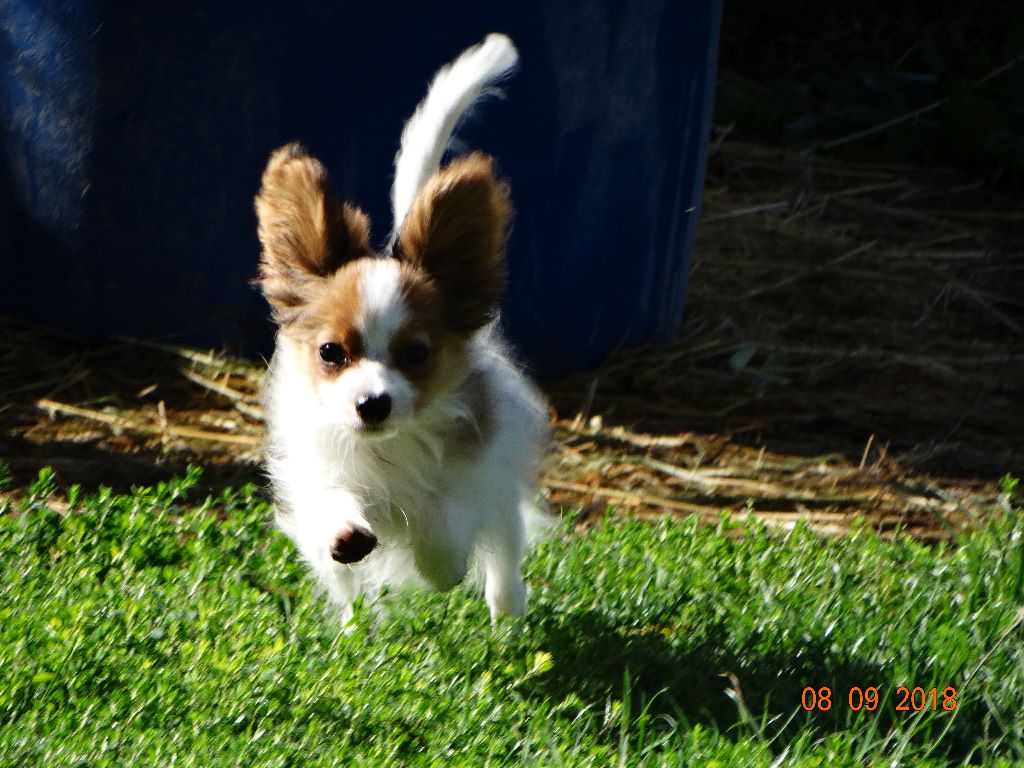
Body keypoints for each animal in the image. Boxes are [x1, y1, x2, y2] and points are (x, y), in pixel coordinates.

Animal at [252, 34, 548, 626]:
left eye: (416, 354)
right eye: (330, 352)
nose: (372, 404)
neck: (389, 447)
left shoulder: (474, 472)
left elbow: (442, 525)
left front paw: (442, 565)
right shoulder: (318, 466)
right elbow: (331, 506)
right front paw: (345, 532)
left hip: (502, 495)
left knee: (503, 551)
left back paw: (507, 612)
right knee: (347, 593)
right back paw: (351, 630)